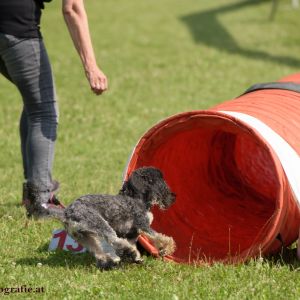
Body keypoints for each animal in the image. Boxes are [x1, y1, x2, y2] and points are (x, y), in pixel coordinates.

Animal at [36, 166, 176, 270]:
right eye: (160, 179)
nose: (173, 197)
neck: (135, 198)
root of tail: (67, 213)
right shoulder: (143, 225)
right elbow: (160, 237)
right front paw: (167, 248)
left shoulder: (132, 234)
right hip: (101, 225)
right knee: (115, 241)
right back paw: (129, 254)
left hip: (84, 237)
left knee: (98, 252)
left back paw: (112, 262)